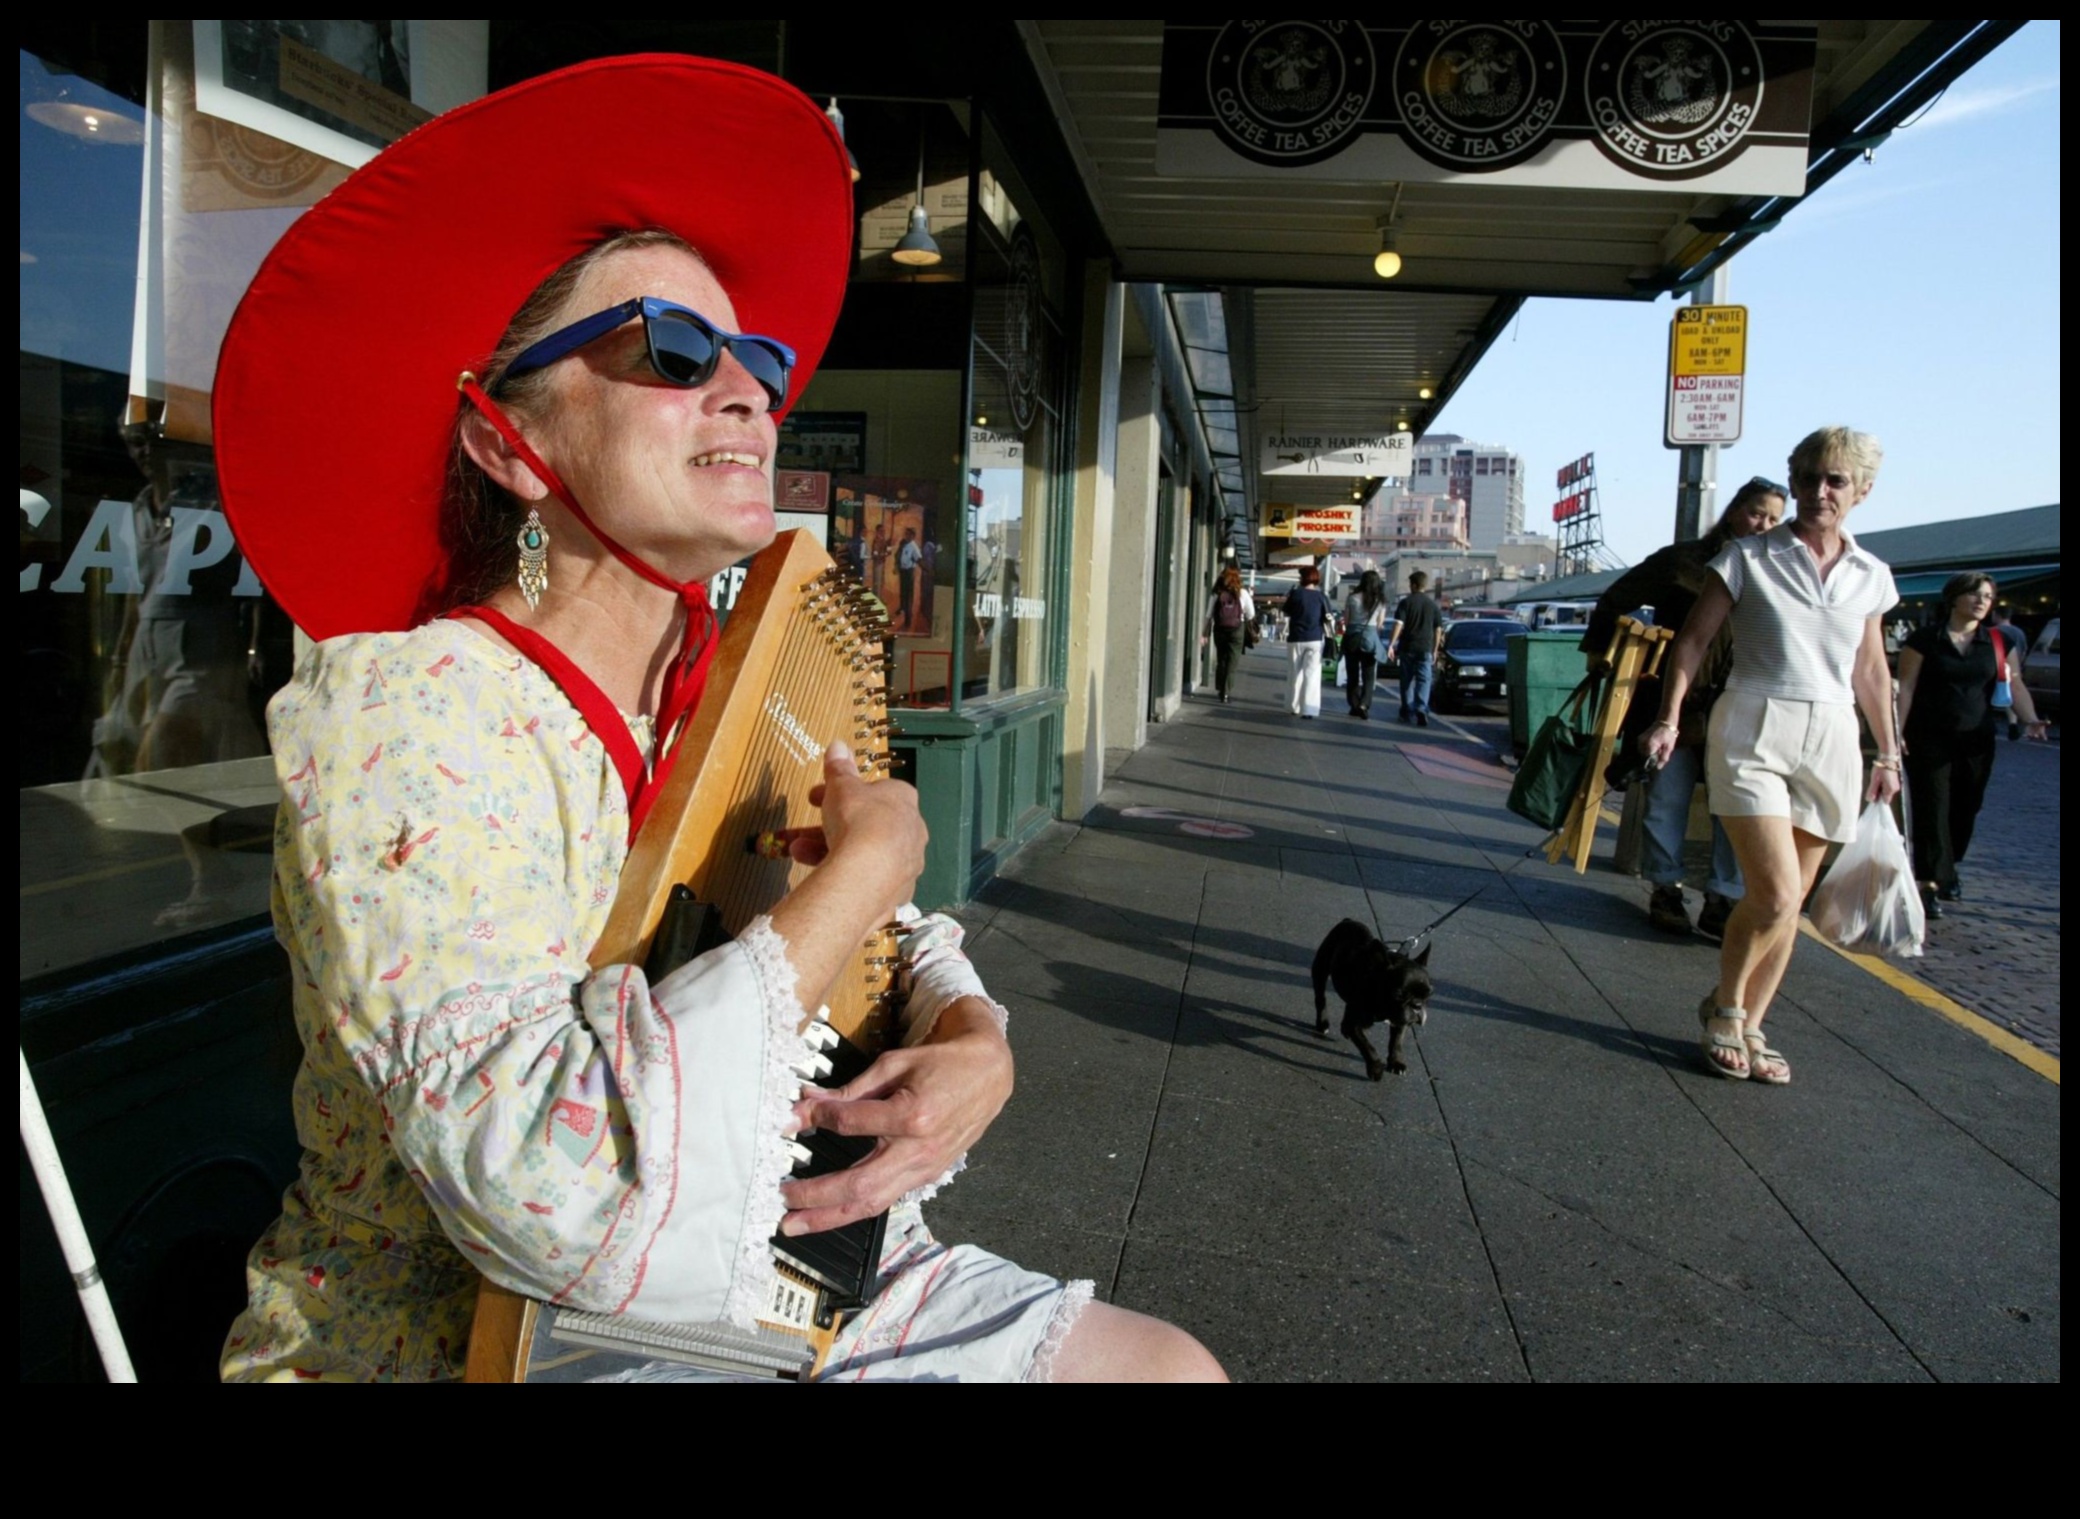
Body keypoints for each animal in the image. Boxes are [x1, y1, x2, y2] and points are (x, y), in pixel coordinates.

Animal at [1314, 911, 1431, 1073]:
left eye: (1428, 995)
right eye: (1398, 994)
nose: (1418, 1006)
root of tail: (1348, 920)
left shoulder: (1401, 1022)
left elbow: (1397, 1042)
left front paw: (1396, 1062)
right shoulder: (1355, 1024)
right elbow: (1367, 1046)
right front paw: (1375, 1068)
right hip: (1320, 968)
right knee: (1320, 997)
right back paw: (1322, 1023)